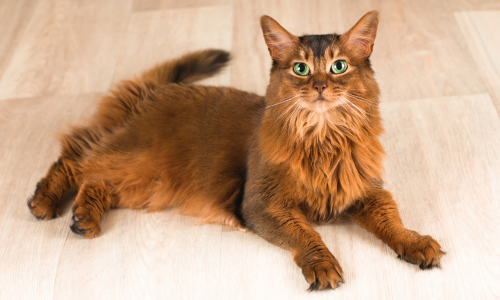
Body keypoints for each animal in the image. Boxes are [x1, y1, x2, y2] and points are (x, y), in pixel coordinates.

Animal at [28, 11, 442, 290]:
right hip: (138, 159)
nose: (321, 86)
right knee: (76, 159)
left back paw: (83, 218)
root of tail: (154, 91)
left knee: (97, 180)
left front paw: (415, 243)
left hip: (147, 183)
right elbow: (308, 235)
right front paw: (322, 265)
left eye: (339, 66)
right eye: (301, 69)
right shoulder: (262, 205)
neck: (323, 140)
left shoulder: (367, 193)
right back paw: (45, 202)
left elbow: (393, 222)